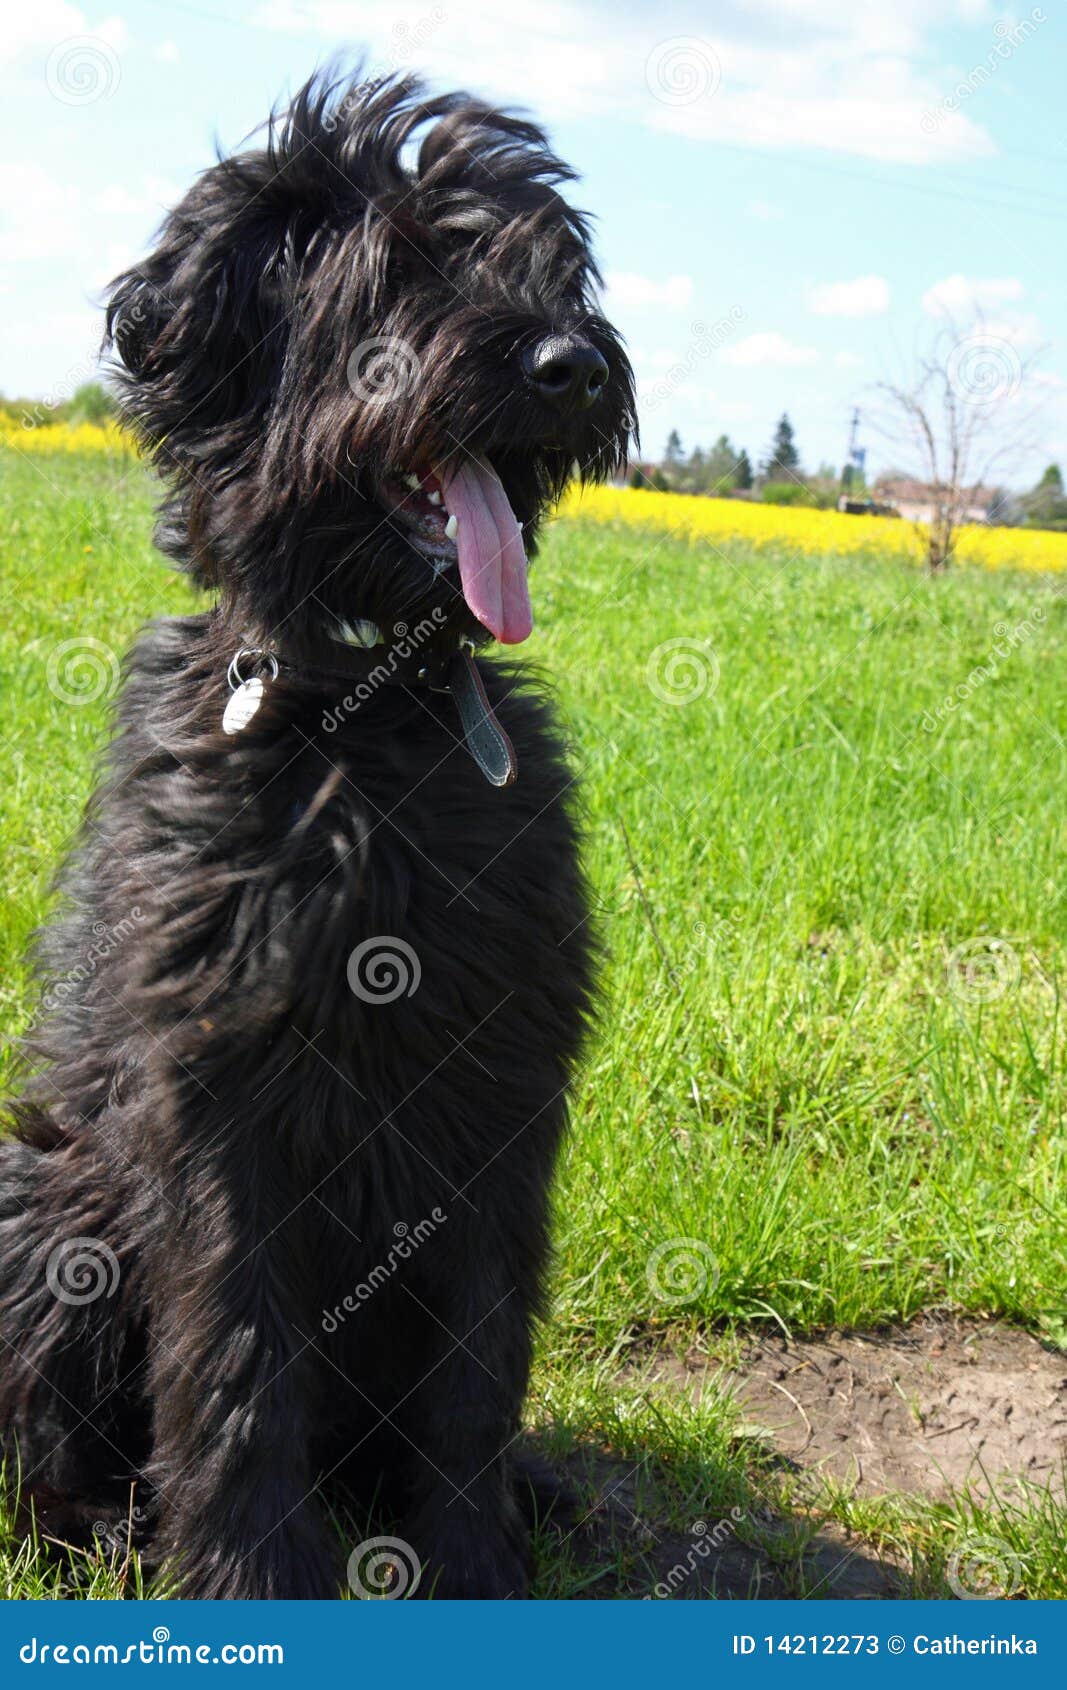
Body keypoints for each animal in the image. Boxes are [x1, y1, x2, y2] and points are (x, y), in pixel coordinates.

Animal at [0, 69, 635, 1595]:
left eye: (548, 267)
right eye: (398, 268)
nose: (575, 365)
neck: (368, 722)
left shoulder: (502, 1089)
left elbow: (477, 1367)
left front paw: (469, 1563)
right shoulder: (214, 1106)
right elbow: (234, 1364)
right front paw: (251, 1579)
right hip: (50, 1198)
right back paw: (108, 1529)